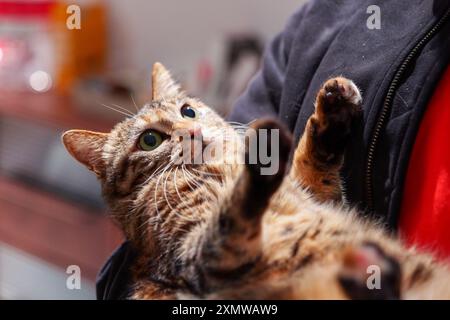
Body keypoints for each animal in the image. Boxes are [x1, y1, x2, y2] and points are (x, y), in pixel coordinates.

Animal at [62, 63, 450, 300]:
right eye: (150, 140)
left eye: (188, 111)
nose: (192, 131)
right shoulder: (198, 257)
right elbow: (233, 214)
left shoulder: (317, 194)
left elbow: (310, 165)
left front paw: (332, 111)